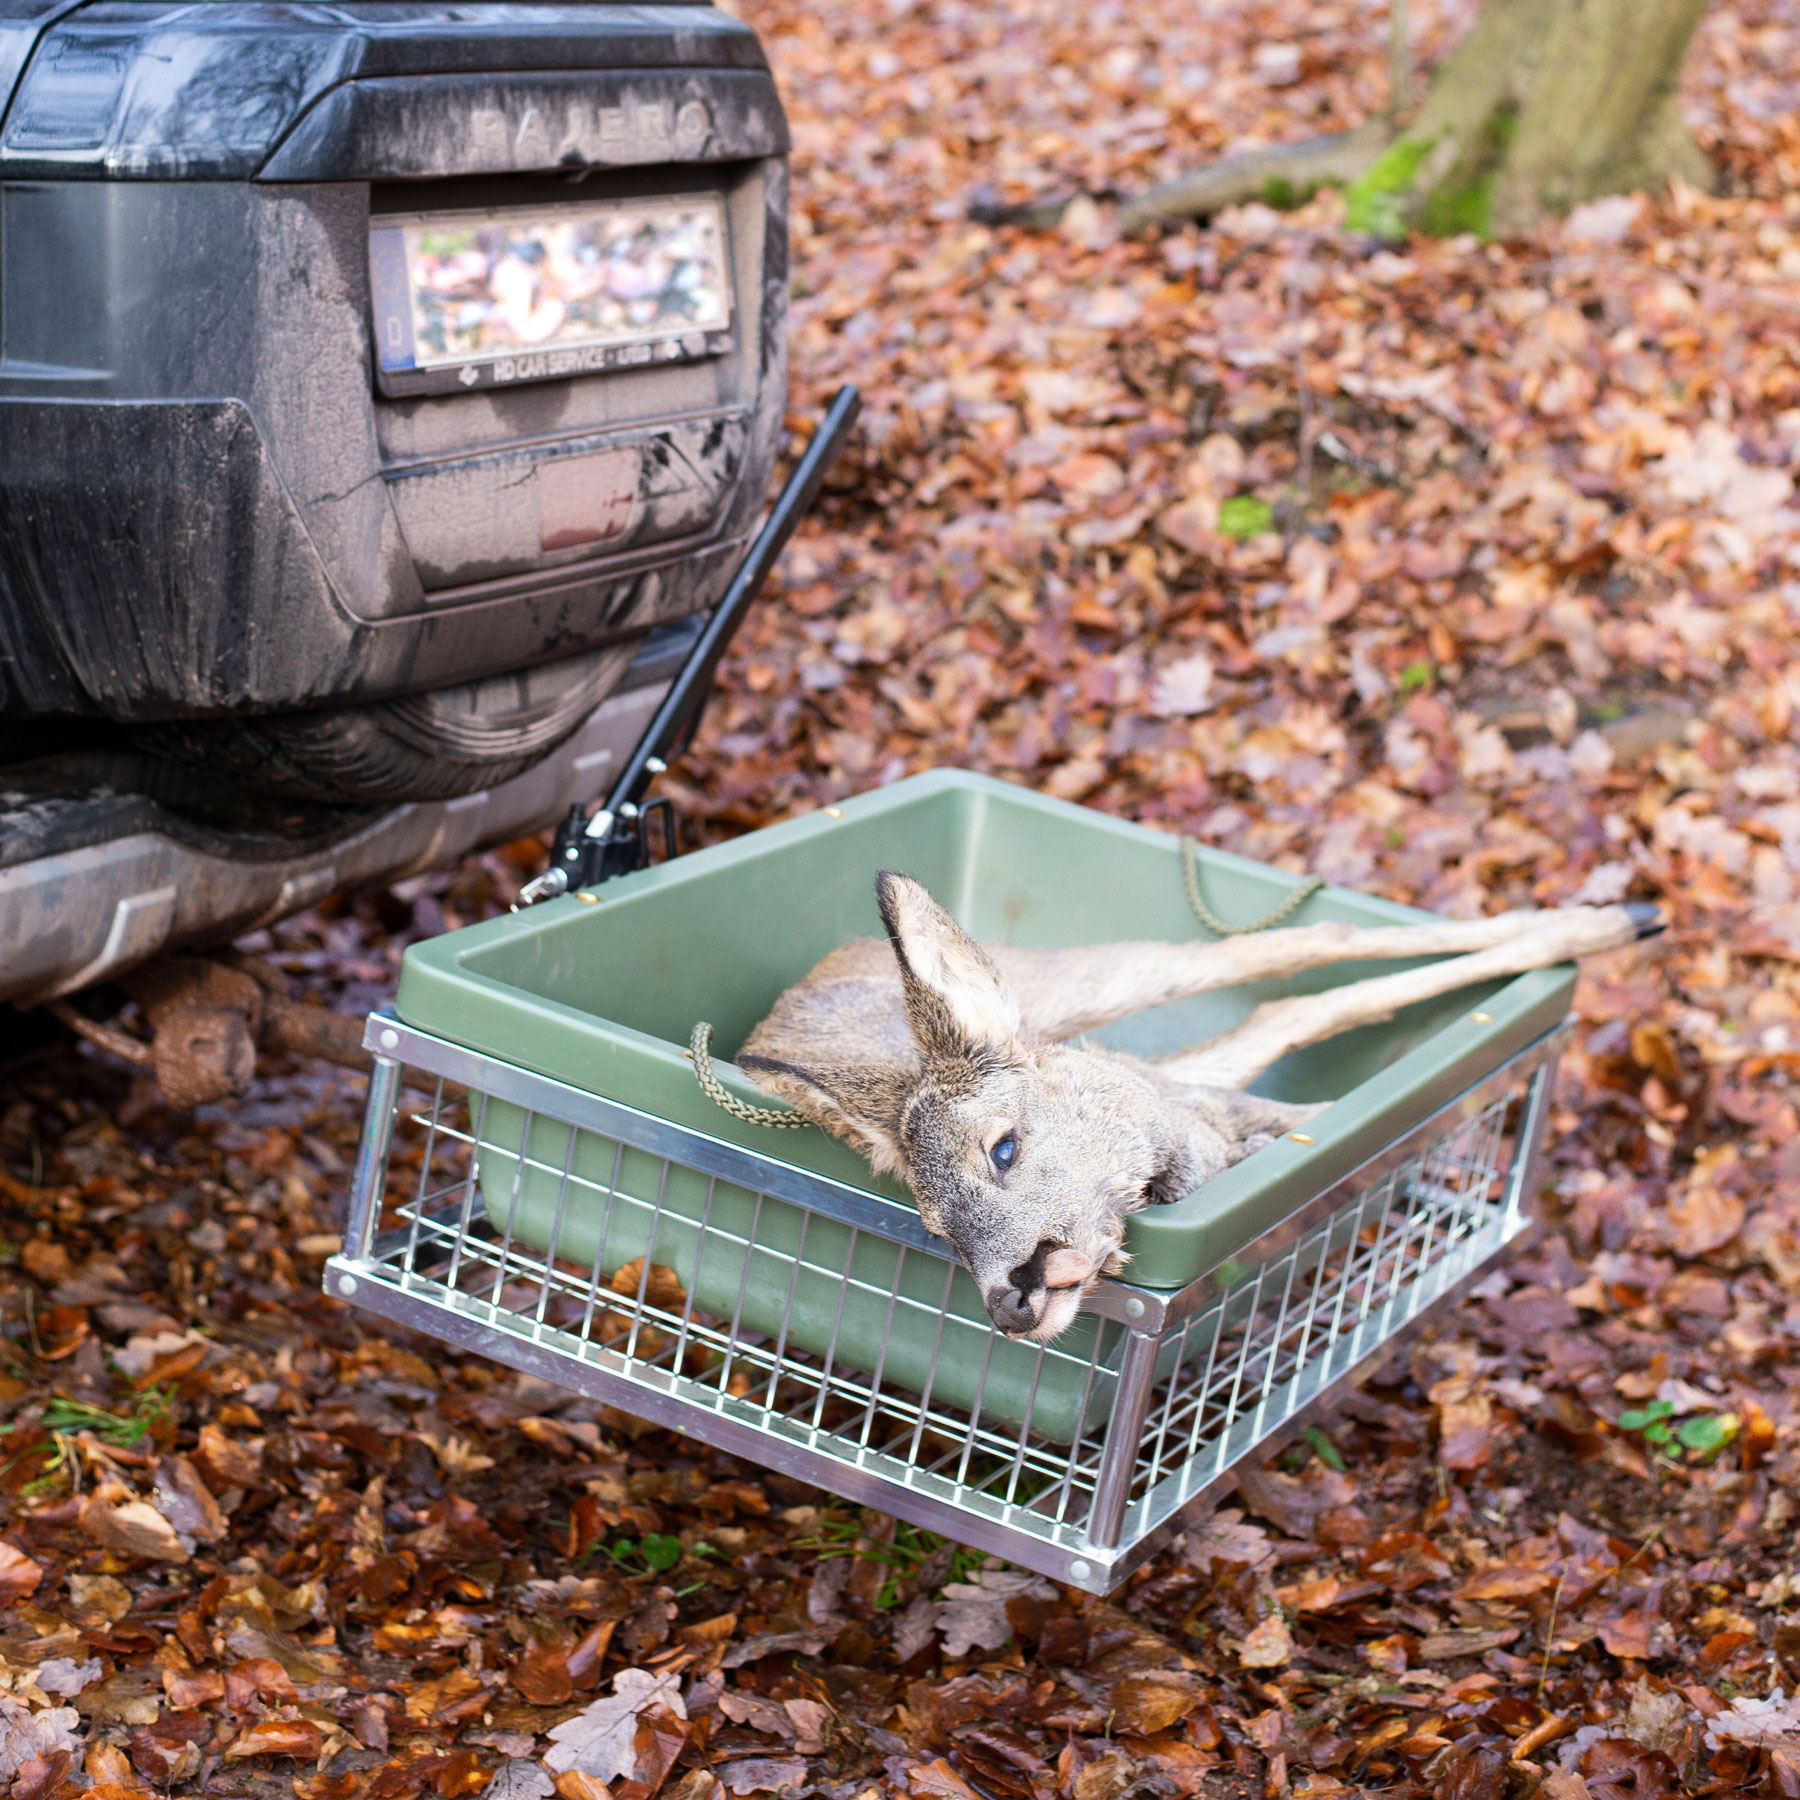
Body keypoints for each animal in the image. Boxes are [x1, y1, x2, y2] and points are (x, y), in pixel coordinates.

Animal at [734, 864, 1656, 1346]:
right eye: (934, 1230)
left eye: (1002, 1148)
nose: (1011, 1302)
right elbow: (1295, 1021)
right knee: (1287, 999)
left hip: (1084, 986)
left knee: (1297, 950)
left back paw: (1622, 919)